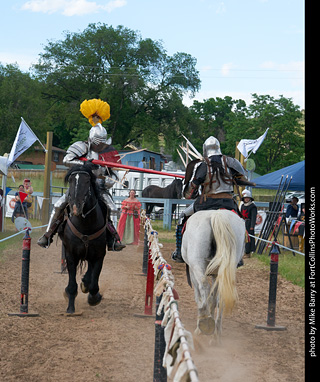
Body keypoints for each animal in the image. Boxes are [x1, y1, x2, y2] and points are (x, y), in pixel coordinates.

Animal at [181, 209, 246, 338]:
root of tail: (217, 215)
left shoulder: (192, 271)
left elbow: (199, 297)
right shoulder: (216, 275)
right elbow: (214, 299)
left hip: (197, 265)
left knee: (204, 287)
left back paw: (205, 323)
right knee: (221, 297)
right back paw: (216, 334)